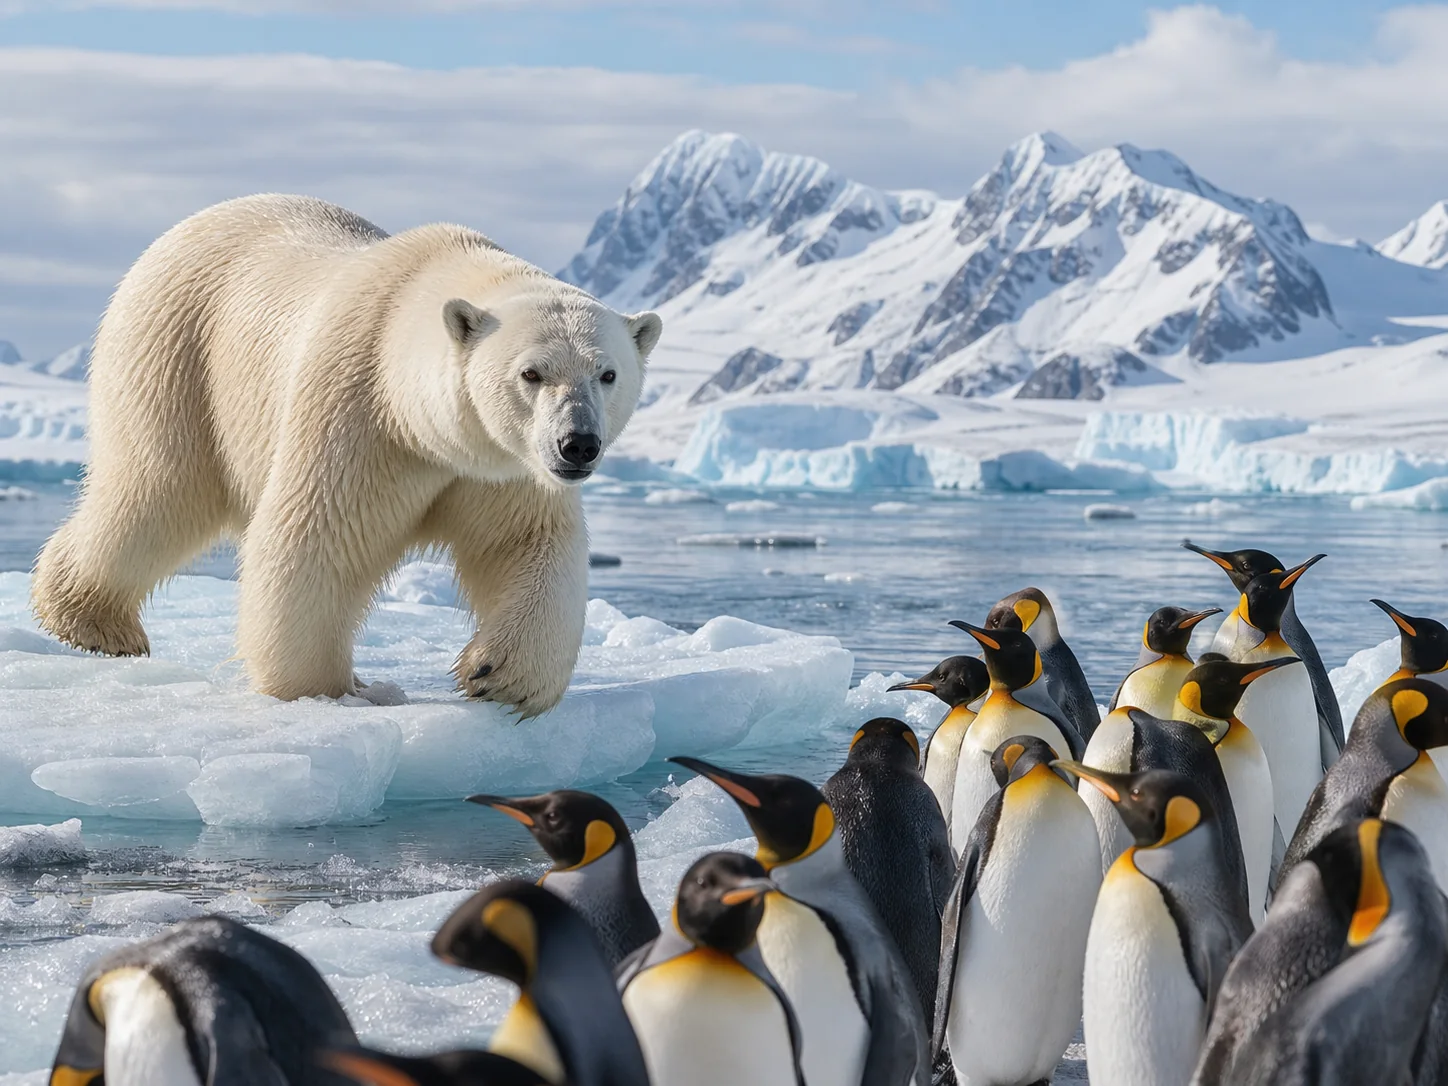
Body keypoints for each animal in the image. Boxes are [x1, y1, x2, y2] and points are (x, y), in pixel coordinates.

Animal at [31, 194, 661, 717]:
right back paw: (96, 624)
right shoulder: (361, 411)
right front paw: (326, 690)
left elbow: (525, 543)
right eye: (532, 372)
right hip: (176, 355)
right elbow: (318, 538)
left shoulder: (502, 466)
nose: (577, 443)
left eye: (607, 373)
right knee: (158, 491)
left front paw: (498, 674)